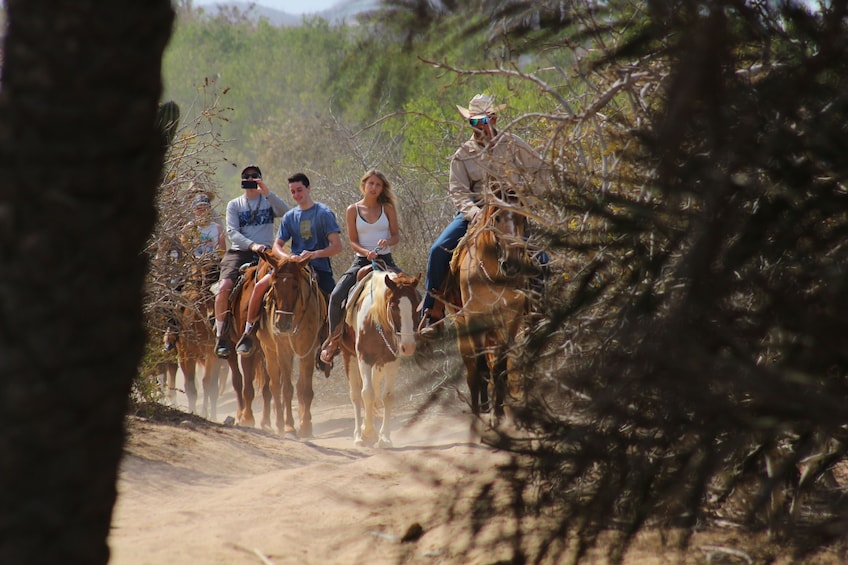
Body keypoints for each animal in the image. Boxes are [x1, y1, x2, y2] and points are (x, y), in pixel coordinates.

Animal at [253, 249, 326, 438]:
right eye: (274, 285)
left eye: (295, 286)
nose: (281, 324)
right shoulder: (284, 351)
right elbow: (286, 389)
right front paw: (289, 427)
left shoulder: (307, 350)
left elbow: (305, 389)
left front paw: (306, 426)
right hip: (269, 352)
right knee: (274, 386)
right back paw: (278, 423)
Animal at [336, 270, 420, 448]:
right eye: (394, 307)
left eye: (416, 305)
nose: (408, 346)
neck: (376, 319)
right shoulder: (364, 358)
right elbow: (366, 393)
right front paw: (368, 432)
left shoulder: (391, 360)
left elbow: (387, 396)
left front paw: (385, 437)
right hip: (349, 356)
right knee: (356, 394)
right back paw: (358, 435)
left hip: (380, 363)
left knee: (374, 385)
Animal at [450, 187, 528, 426]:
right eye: (497, 218)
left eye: (522, 217)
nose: (512, 264)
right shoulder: (474, 319)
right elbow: (480, 368)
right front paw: (483, 412)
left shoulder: (510, 320)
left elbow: (500, 368)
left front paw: (498, 413)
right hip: (463, 332)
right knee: (472, 371)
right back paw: (479, 407)